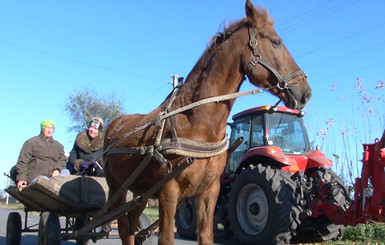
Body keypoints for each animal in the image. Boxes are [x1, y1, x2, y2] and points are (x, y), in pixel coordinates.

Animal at [103, 0, 310, 244]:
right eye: (276, 41)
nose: (305, 92)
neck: (198, 124)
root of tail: (114, 125)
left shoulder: (209, 191)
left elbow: (206, 235)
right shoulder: (169, 191)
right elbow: (166, 236)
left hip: (140, 192)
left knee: (131, 223)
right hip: (117, 189)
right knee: (124, 226)